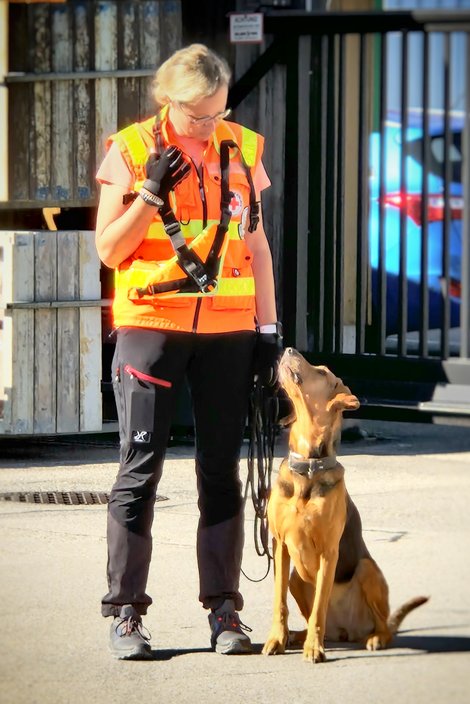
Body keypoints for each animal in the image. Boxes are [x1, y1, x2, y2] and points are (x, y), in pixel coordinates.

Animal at [262, 350, 428, 664]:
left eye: (322, 372)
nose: (288, 349)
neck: (309, 467)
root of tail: (346, 632)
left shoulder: (329, 551)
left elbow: (319, 608)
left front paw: (313, 650)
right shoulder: (279, 546)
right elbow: (278, 603)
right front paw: (276, 639)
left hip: (366, 569)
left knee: (378, 624)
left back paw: (374, 638)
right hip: (295, 579)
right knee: (314, 618)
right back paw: (298, 636)